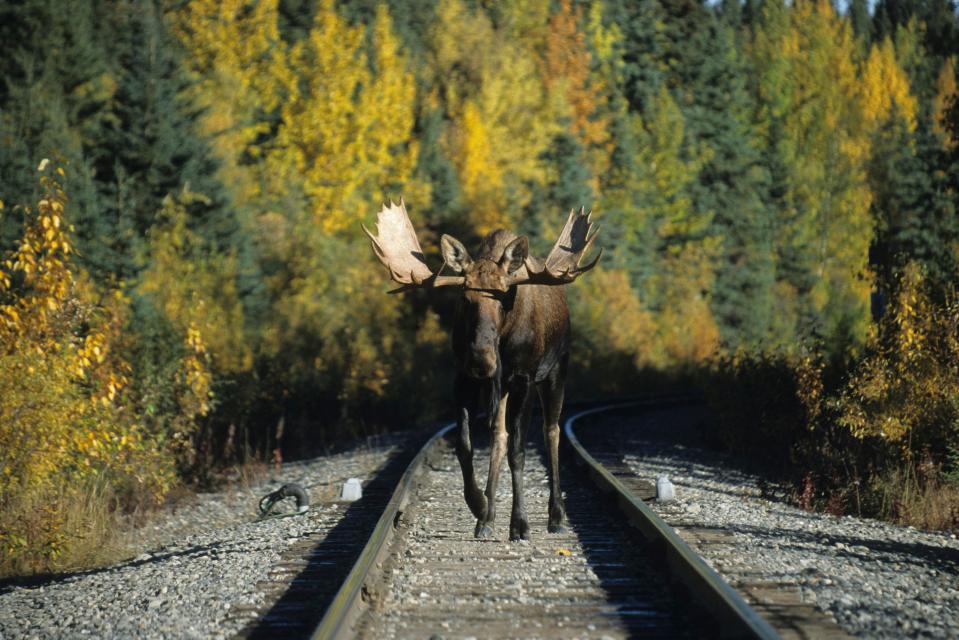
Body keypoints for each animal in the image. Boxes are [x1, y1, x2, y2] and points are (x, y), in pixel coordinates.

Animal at [366, 201, 600, 540]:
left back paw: (556, 516)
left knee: (551, 431)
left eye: (505, 297)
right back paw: (487, 518)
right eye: (465, 298)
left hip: (556, 370)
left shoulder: (524, 378)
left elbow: (519, 450)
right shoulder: (462, 377)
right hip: (500, 387)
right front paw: (479, 505)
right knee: (498, 434)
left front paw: (520, 524)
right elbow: (466, 445)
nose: (481, 359)